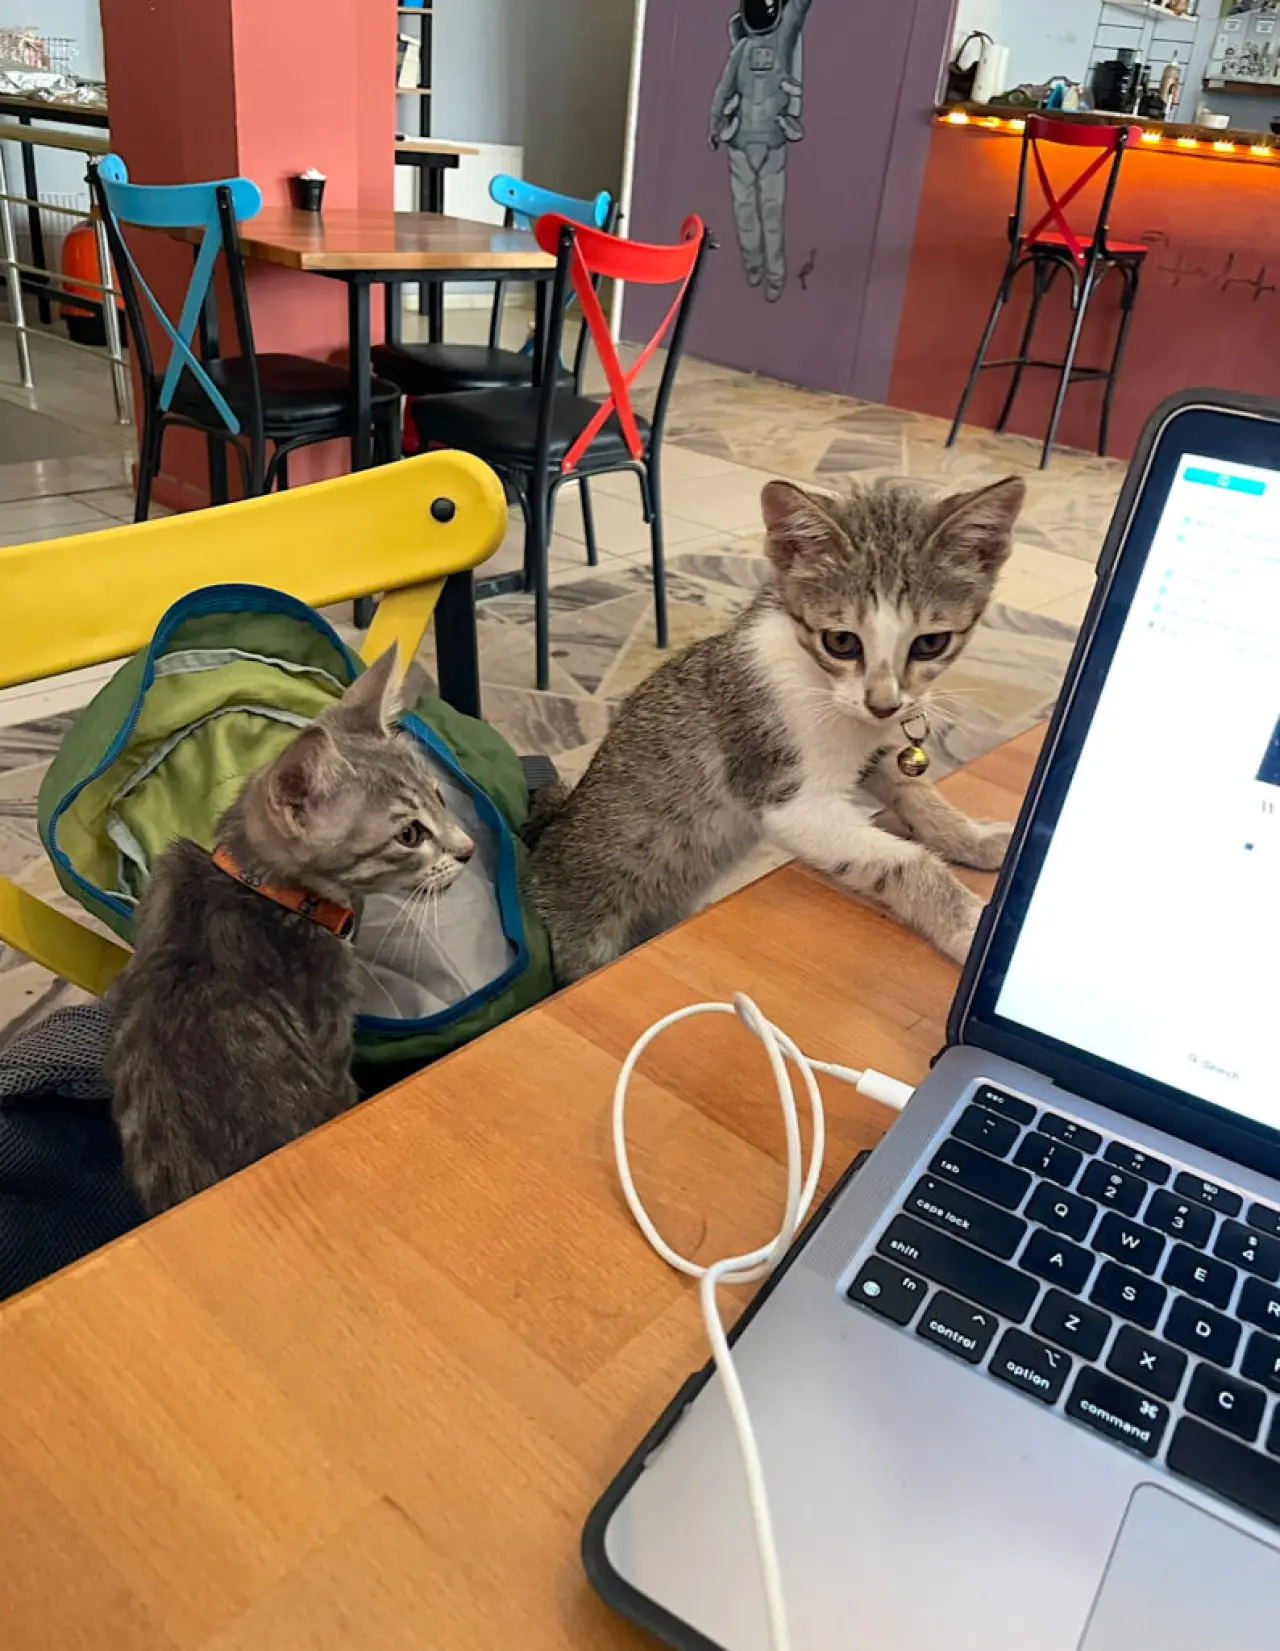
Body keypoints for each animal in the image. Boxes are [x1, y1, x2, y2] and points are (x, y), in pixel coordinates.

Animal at [531, 472, 1030, 983]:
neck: (817, 678)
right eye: (841, 641)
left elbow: (916, 789)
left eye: (931, 643)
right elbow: (903, 861)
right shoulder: (788, 800)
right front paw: (972, 927)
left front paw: (975, 839)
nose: (884, 706)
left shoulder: (871, 743)